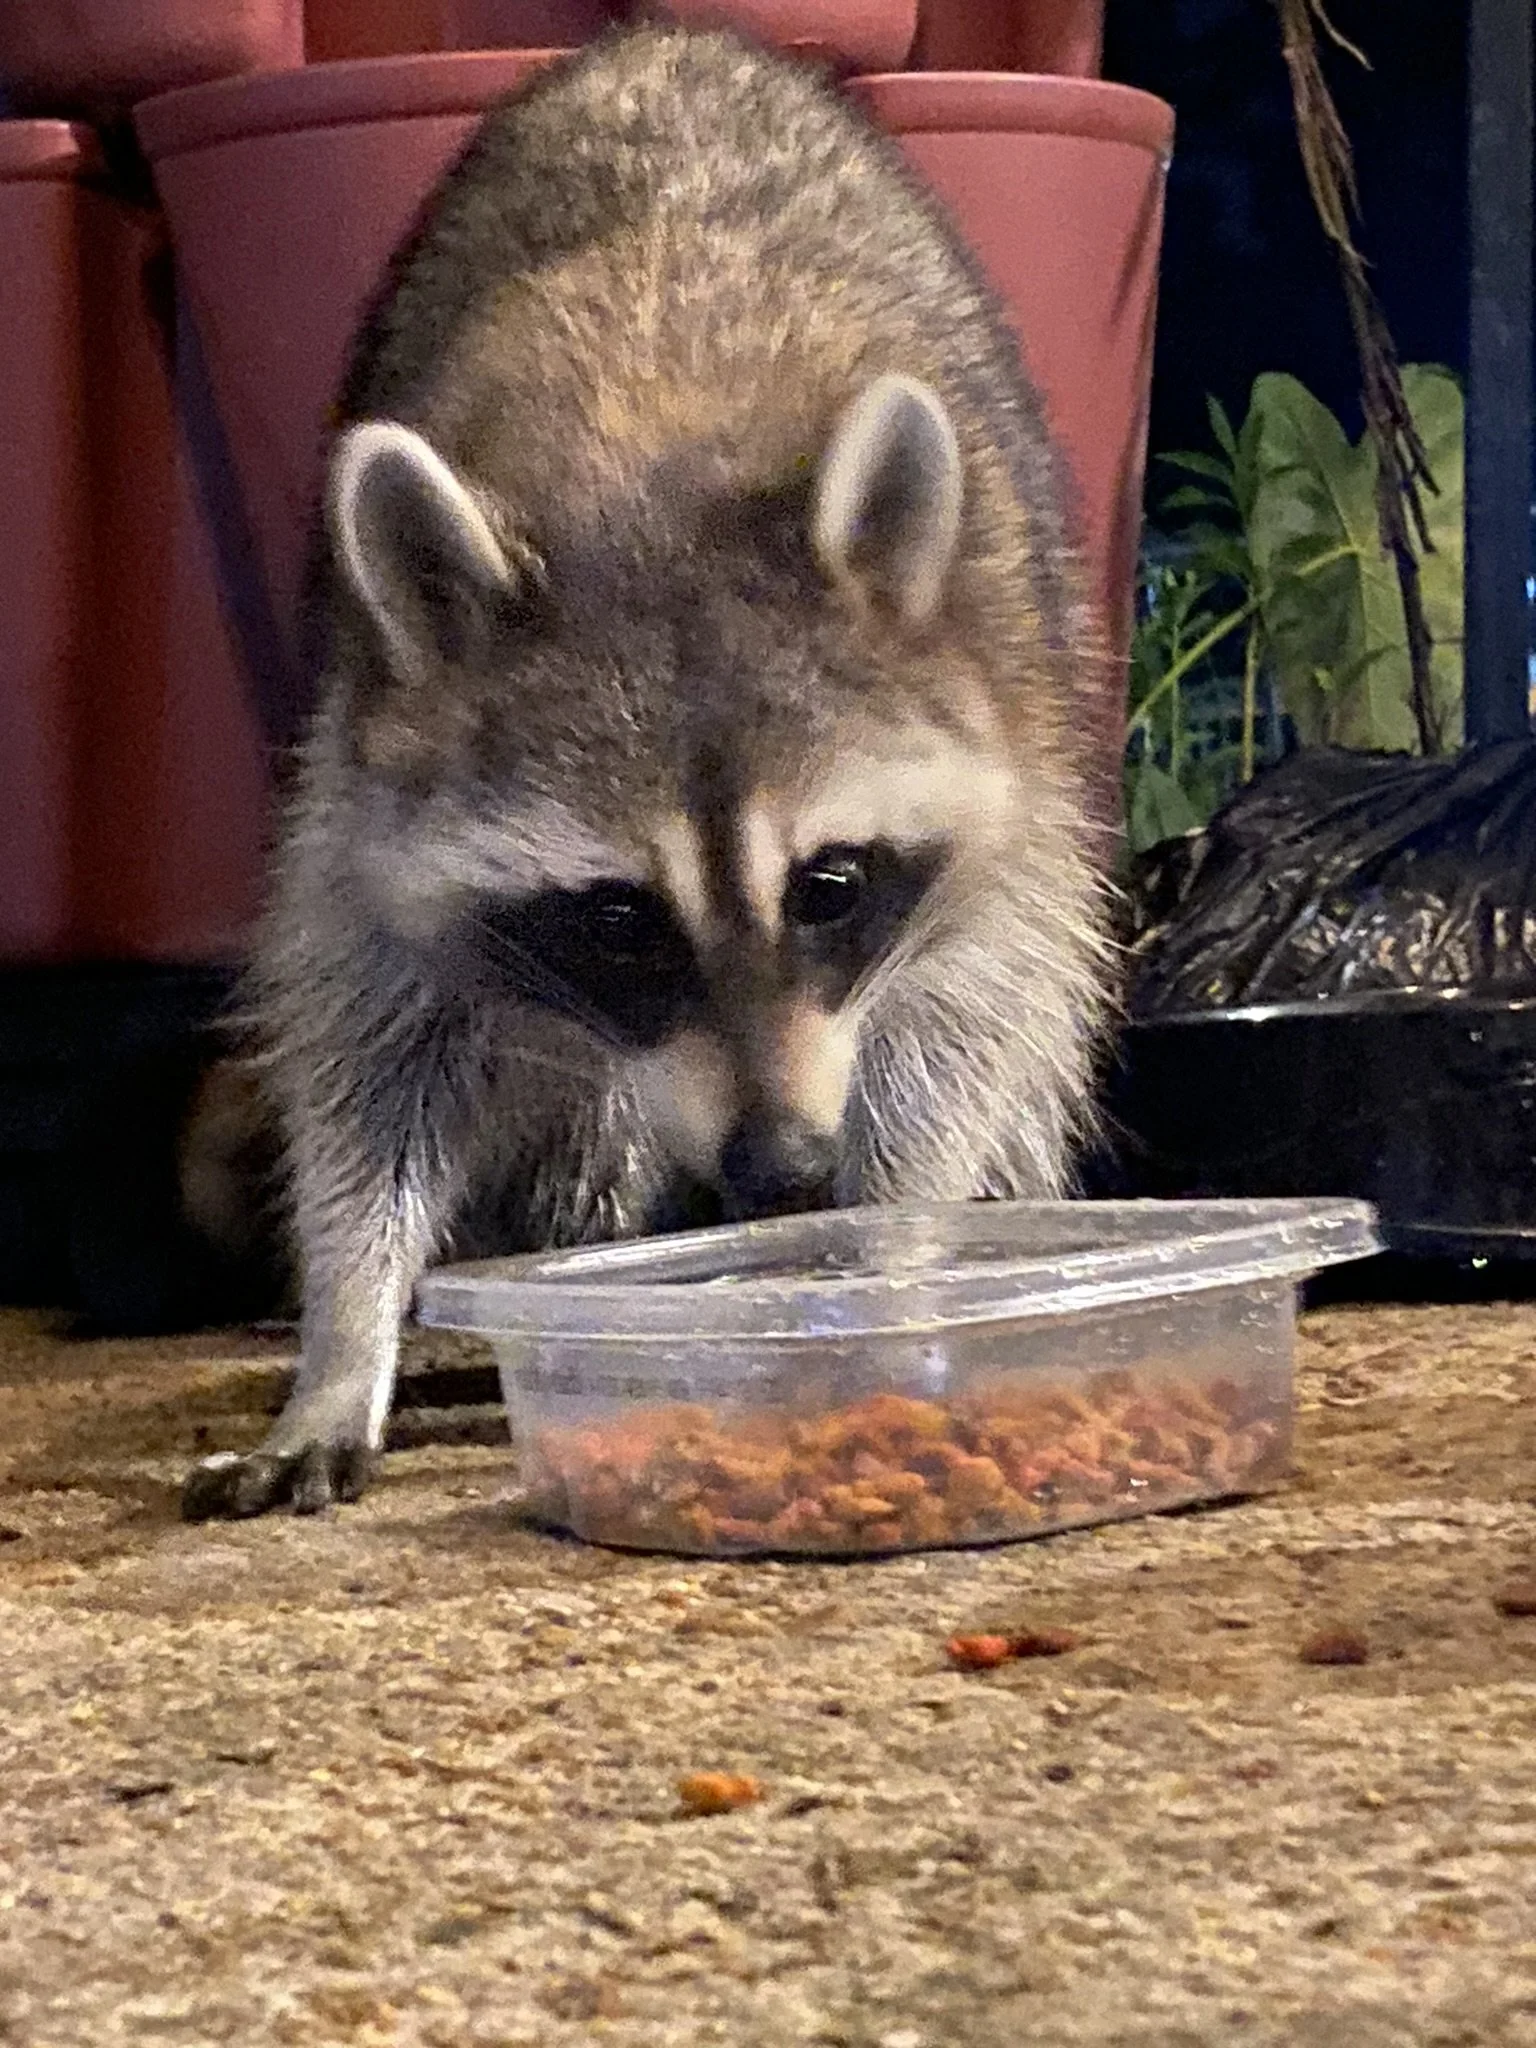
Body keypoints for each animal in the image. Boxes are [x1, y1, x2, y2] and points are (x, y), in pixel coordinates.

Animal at [182, 21, 1111, 1521]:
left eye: (830, 884)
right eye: (619, 918)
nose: (783, 1169)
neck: (652, 455)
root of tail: (668, 40)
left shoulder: (1009, 764)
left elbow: (969, 1025)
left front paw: (892, 1264)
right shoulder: (357, 781)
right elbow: (367, 1060)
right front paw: (346, 1326)